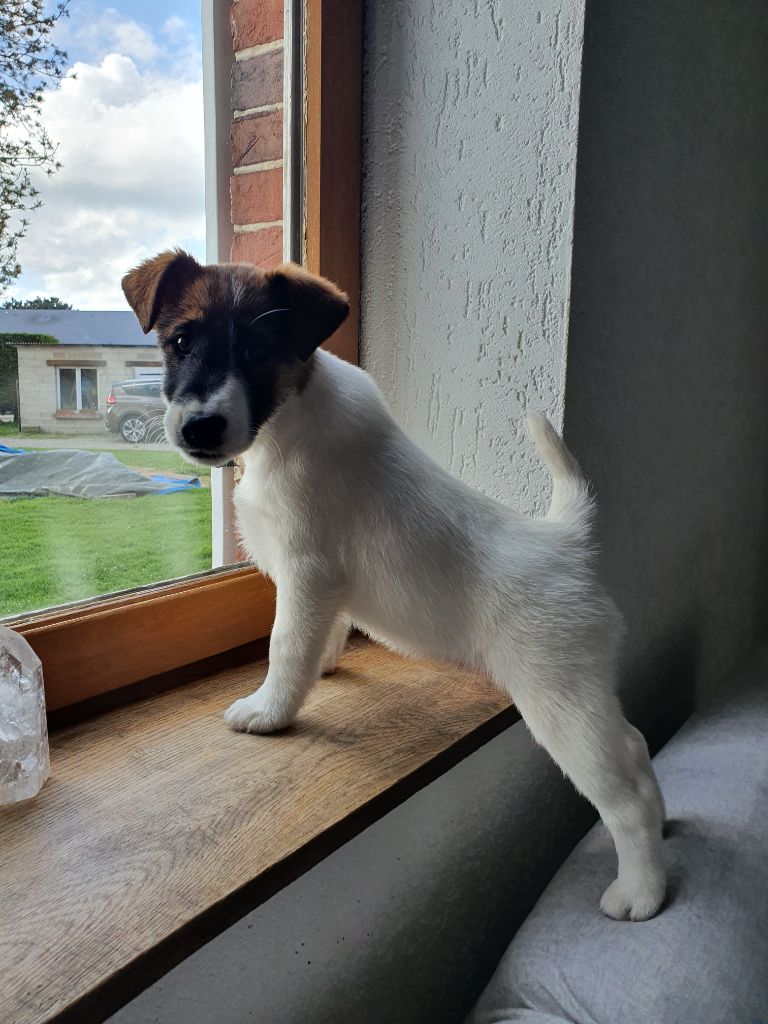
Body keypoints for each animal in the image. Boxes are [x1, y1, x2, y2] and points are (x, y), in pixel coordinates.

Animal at [122, 249, 667, 921]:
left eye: (255, 350)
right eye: (180, 342)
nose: (200, 427)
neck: (288, 414)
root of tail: (566, 541)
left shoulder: (307, 571)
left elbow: (285, 647)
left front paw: (272, 710)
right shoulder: (323, 587)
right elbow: (320, 637)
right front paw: (324, 666)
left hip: (561, 701)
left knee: (626, 793)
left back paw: (642, 891)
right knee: (636, 746)